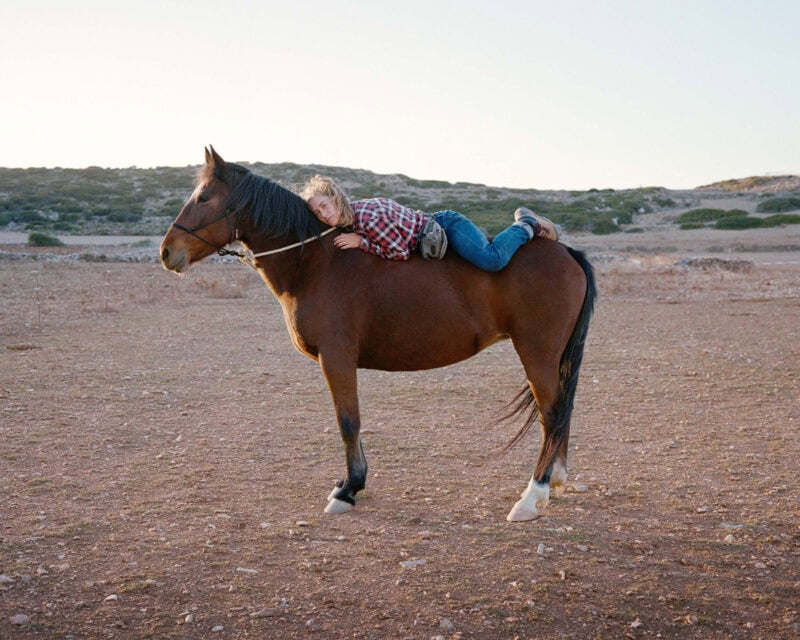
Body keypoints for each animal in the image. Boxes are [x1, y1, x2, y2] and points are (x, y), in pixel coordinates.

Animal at [159, 148, 592, 524]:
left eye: (204, 197)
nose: (166, 252)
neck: (316, 264)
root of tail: (566, 252)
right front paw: (350, 482)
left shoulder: (336, 358)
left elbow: (348, 421)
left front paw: (348, 490)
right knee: (560, 412)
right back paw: (555, 481)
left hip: (536, 352)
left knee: (552, 413)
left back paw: (532, 497)